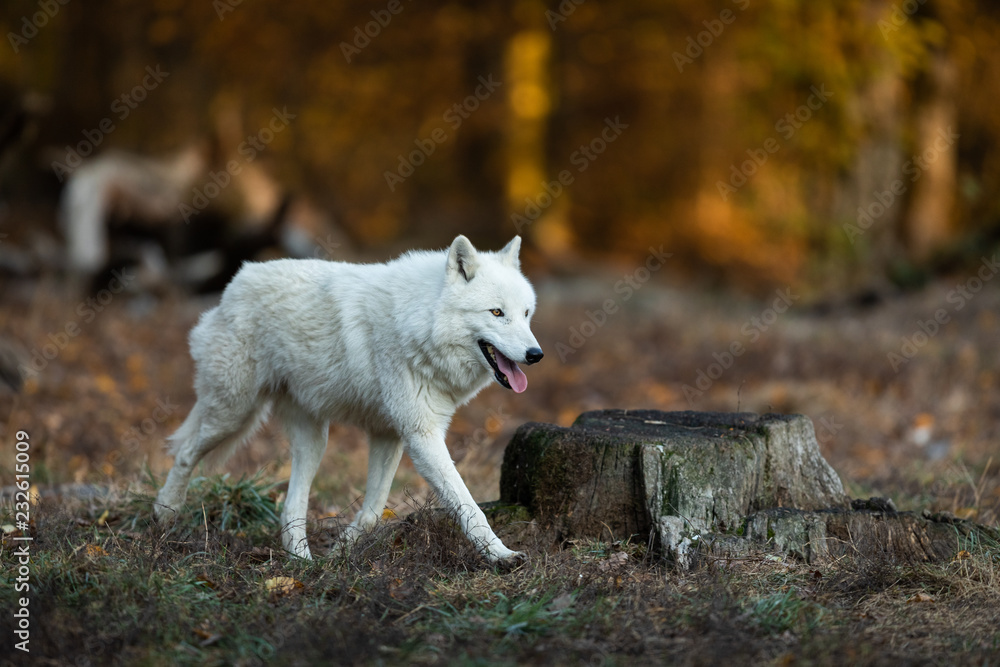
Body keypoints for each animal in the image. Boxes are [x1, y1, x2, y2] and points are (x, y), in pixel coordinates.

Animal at [154, 235, 543, 562]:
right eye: (496, 313)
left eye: (526, 314)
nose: (535, 354)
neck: (418, 322)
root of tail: (238, 278)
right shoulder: (421, 435)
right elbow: (468, 504)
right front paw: (502, 556)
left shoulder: (389, 434)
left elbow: (373, 509)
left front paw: (340, 552)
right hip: (233, 413)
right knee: (185, 452)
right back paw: (165, 514)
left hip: (312, 440)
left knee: (291, 505)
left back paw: (302, 563)